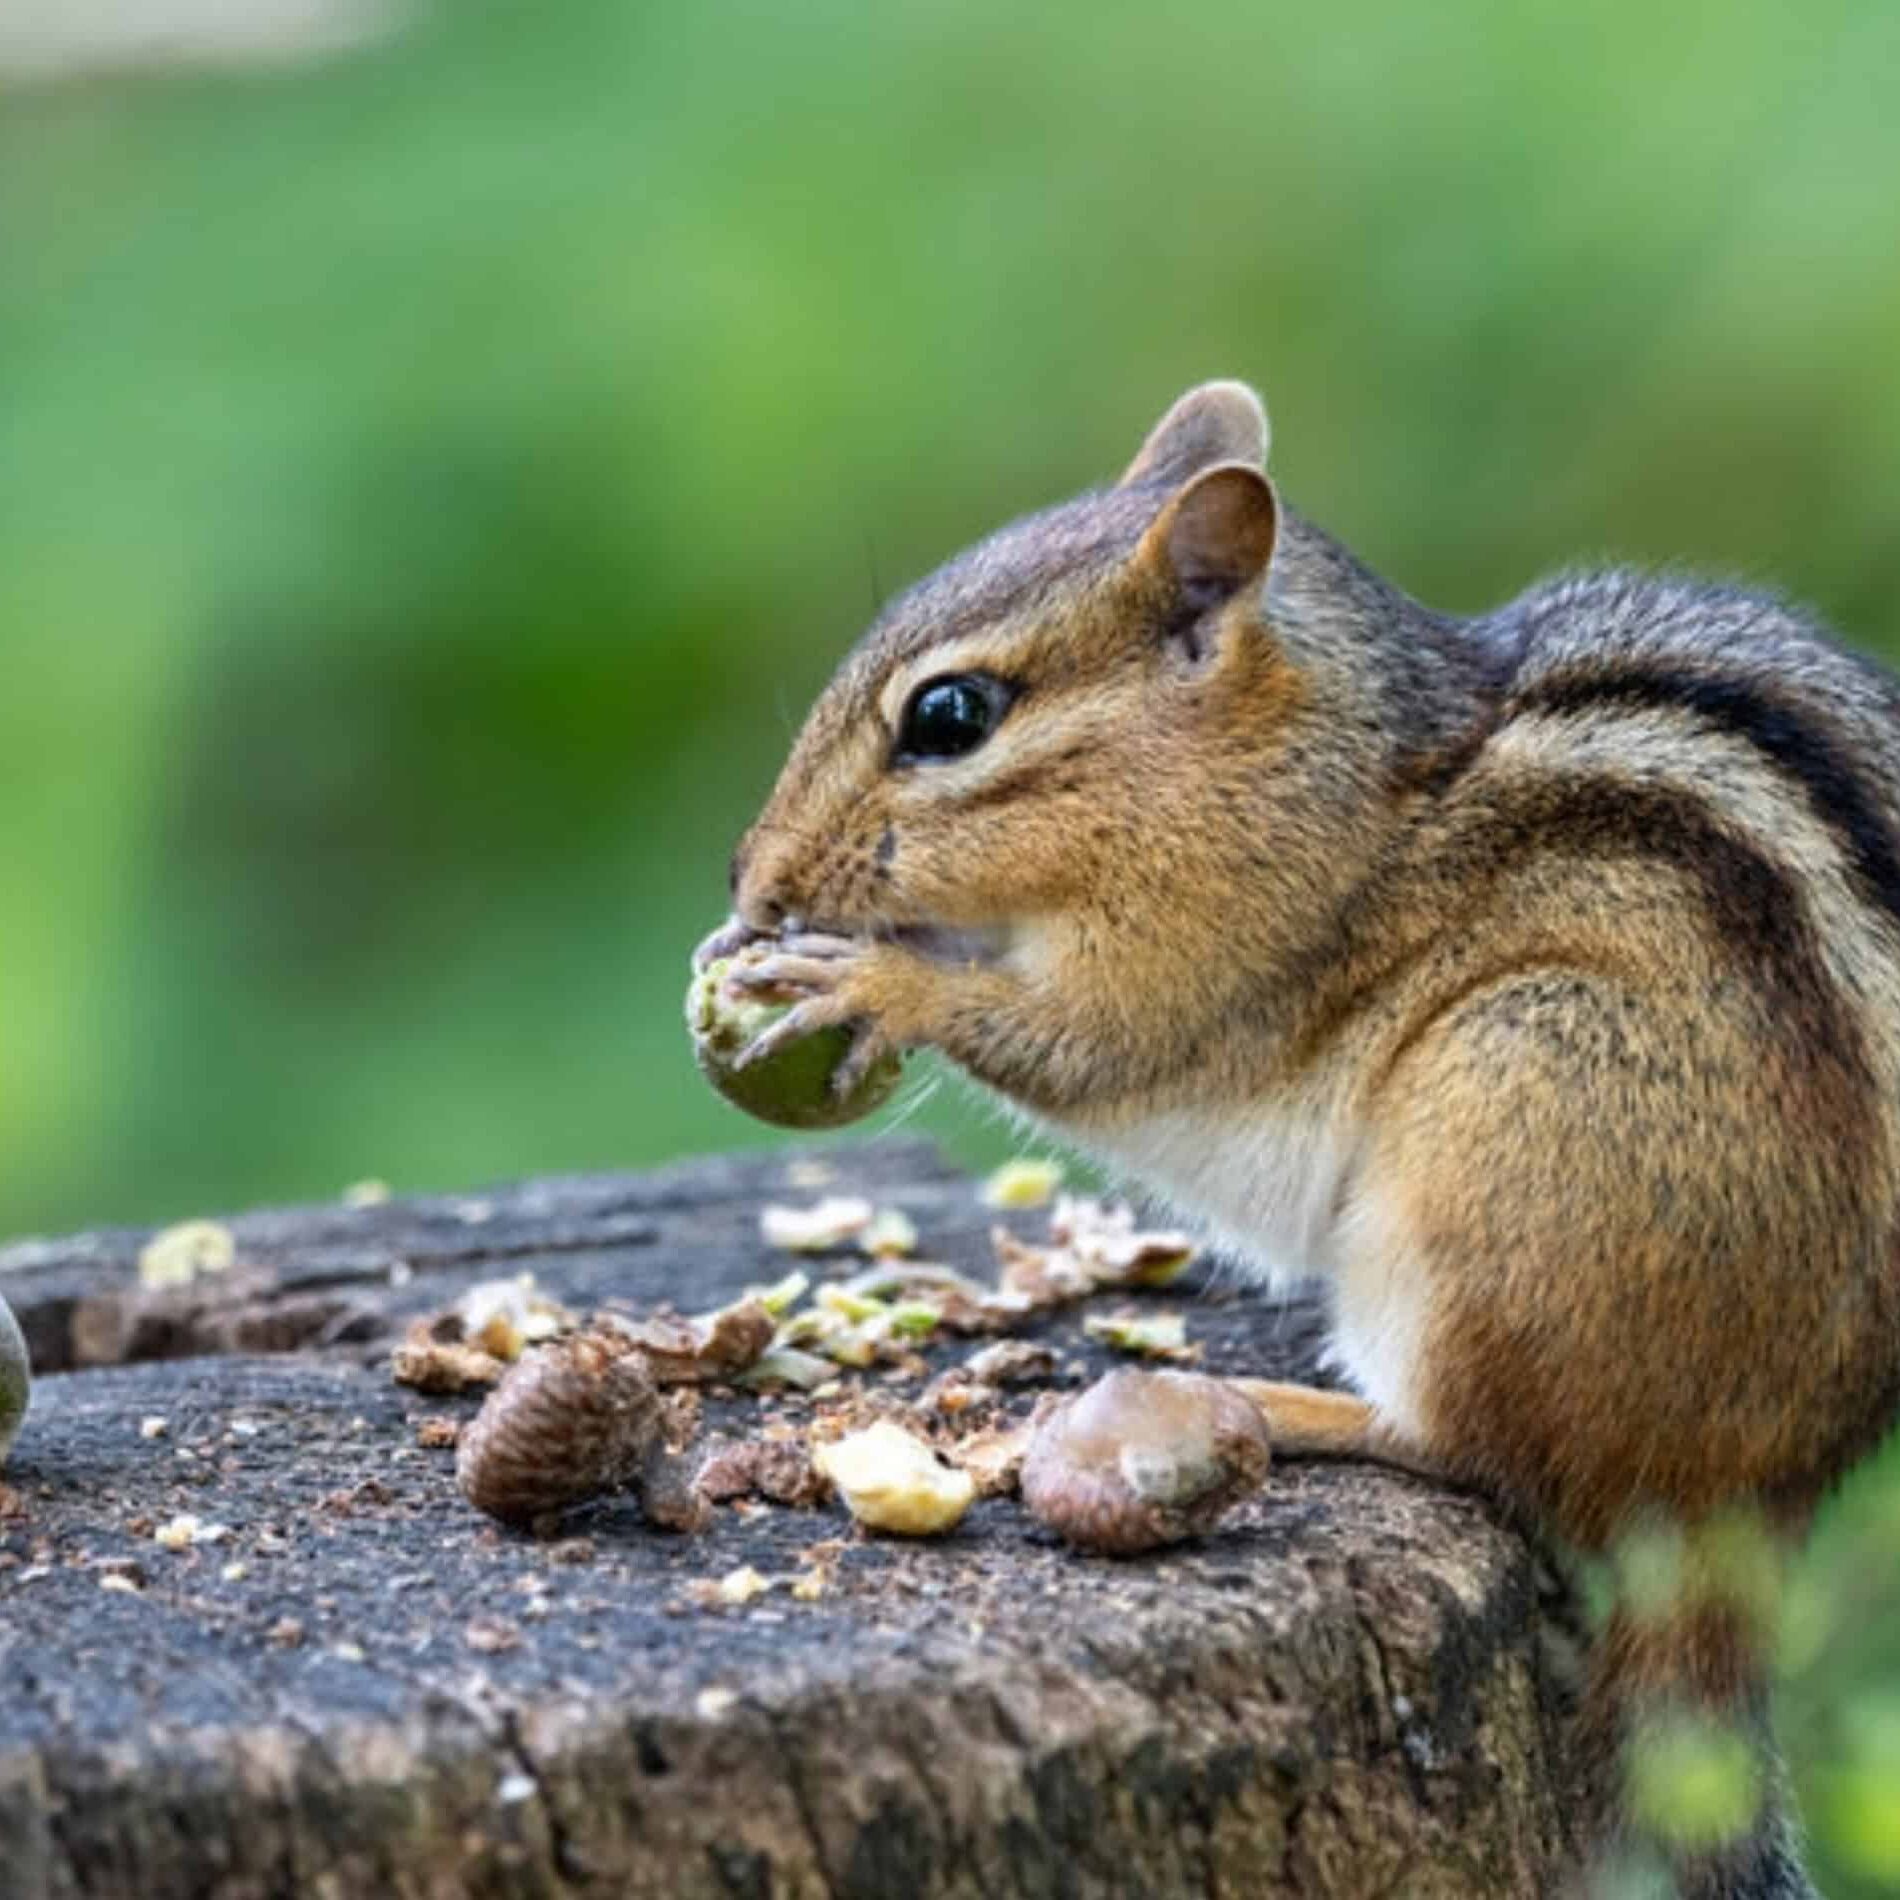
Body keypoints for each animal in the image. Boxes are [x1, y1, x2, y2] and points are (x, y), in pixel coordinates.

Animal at [703, 381, 1900, 1897]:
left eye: (950, 716)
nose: (753, 880)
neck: (1303, 760)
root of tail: (1750, 1505)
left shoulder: (1203, 953)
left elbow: (1083, 1041)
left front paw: (867, 981)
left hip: (1501, 1121)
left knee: (1474, 1448)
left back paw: (1285, 1403)